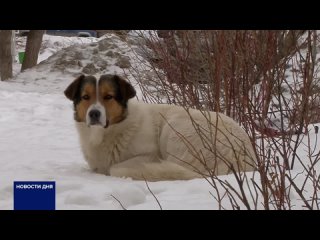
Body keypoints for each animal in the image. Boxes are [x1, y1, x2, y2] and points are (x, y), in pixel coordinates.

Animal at [63, 74, 256, 181]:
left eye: (108, 96)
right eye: (85, 97)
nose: (94, 114)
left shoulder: (148, 154)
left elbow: (115, 167)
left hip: (175, 127)